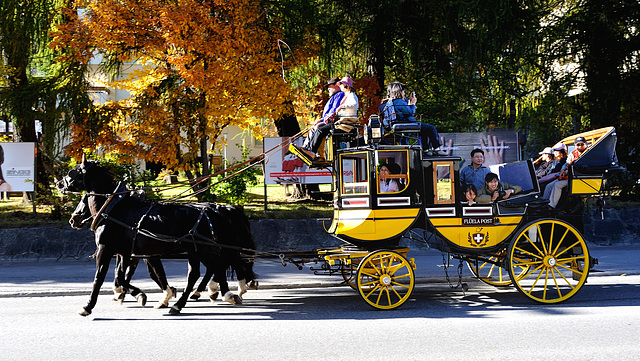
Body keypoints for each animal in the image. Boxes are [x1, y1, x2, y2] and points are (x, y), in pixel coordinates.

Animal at [58, 158, 256, 316]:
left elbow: (100, 279)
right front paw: (139, 294)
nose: (59, 183)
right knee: (201, 272)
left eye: (72, 171)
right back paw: (186, 302)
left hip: (204, 249)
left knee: (217, 267)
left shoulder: (106, 250)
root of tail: (213, 211)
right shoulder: (127, 253)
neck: (114, 210)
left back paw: (224, 293)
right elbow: (123, 277)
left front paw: (88, 306)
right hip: (196, 250)